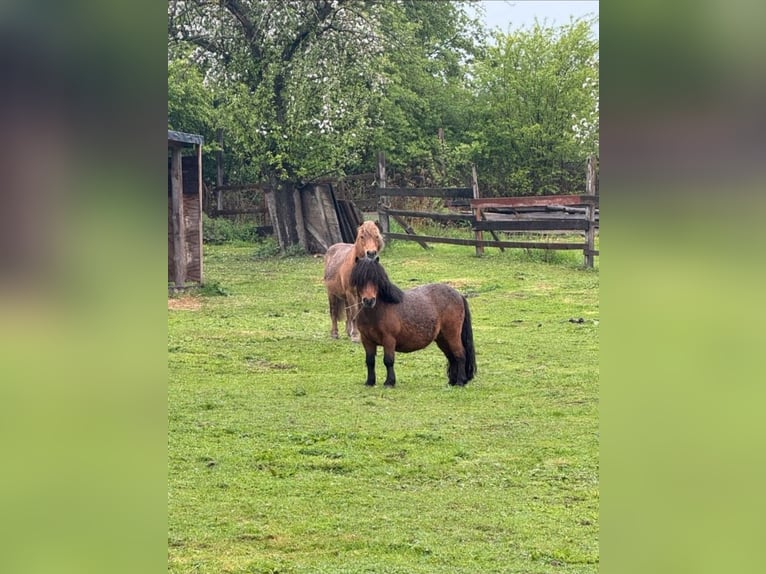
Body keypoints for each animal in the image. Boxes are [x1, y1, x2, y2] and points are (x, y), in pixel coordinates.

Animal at [349, 256, 476, 387]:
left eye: (376, 279)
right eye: (359, 279)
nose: (369, 300)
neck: (378, 311)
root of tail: (459, 294)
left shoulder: (389, 339)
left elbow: (388, 360)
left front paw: (389, 382)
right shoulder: (367, 340)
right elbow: (370, 361)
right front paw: (370, 382)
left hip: (452, 335)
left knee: (460, 355)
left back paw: (460, 381)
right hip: (442, 338)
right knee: (451, 357)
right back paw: (452, 382)